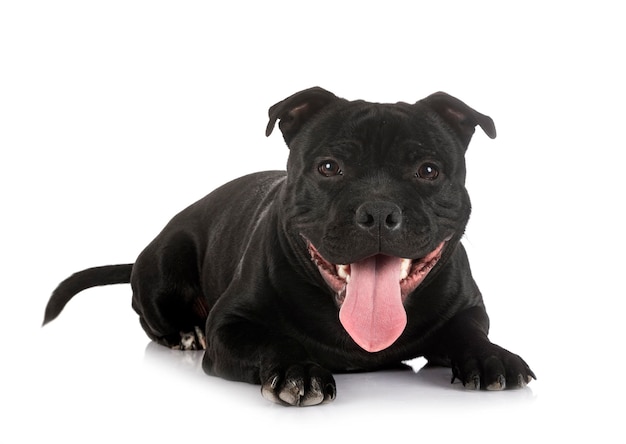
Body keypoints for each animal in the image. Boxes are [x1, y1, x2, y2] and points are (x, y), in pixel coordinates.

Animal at [42, 86, 532, 406]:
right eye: (329, 167)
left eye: (428, 170)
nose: (378, 211)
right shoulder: (231, 326)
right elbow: (273, 341)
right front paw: (298, 370)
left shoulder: (468, 308)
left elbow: (469, 330)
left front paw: (492, 357)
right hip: (165, 263)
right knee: (151, 318)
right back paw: (185, 332)